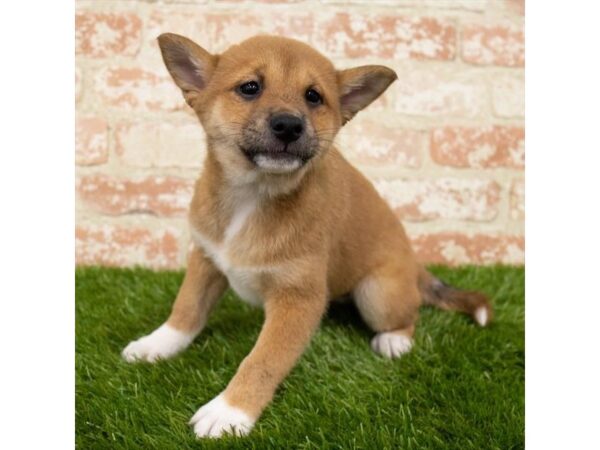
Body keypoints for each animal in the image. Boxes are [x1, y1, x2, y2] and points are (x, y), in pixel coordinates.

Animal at [122, 32, 492, 440]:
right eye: (250, 88)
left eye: (313, 96)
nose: (288, 125)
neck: (253, 196)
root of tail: (414, 267)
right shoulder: (206, 260)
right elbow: (185, 310)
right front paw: (156, 344)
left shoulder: (298, 299)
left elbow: (262, 360)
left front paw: (230, 411)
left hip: (377, 294)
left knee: (408, 316)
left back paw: (394, 340)